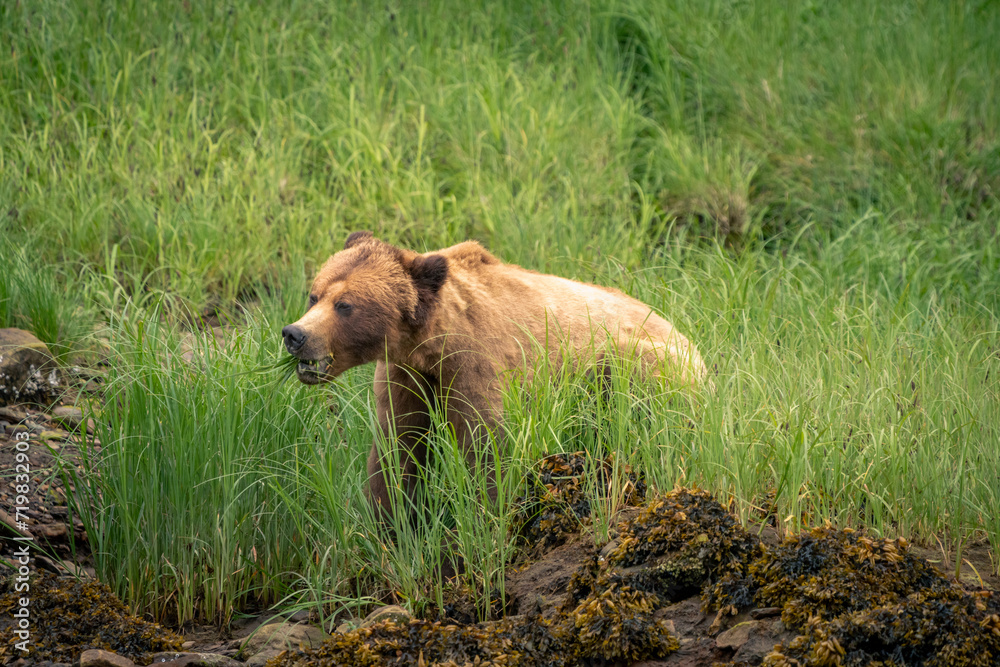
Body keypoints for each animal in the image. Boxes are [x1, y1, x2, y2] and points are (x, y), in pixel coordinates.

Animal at [282, 231, 708, 518]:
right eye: (315, 295)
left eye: (346, 305)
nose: (296, 335)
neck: (429, 347)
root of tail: (692, 343)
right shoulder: (406, 377)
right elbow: (397, 448)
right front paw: (392, 520)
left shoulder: (476, 363)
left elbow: (487, 448)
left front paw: (484, 515)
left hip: (637, 361)